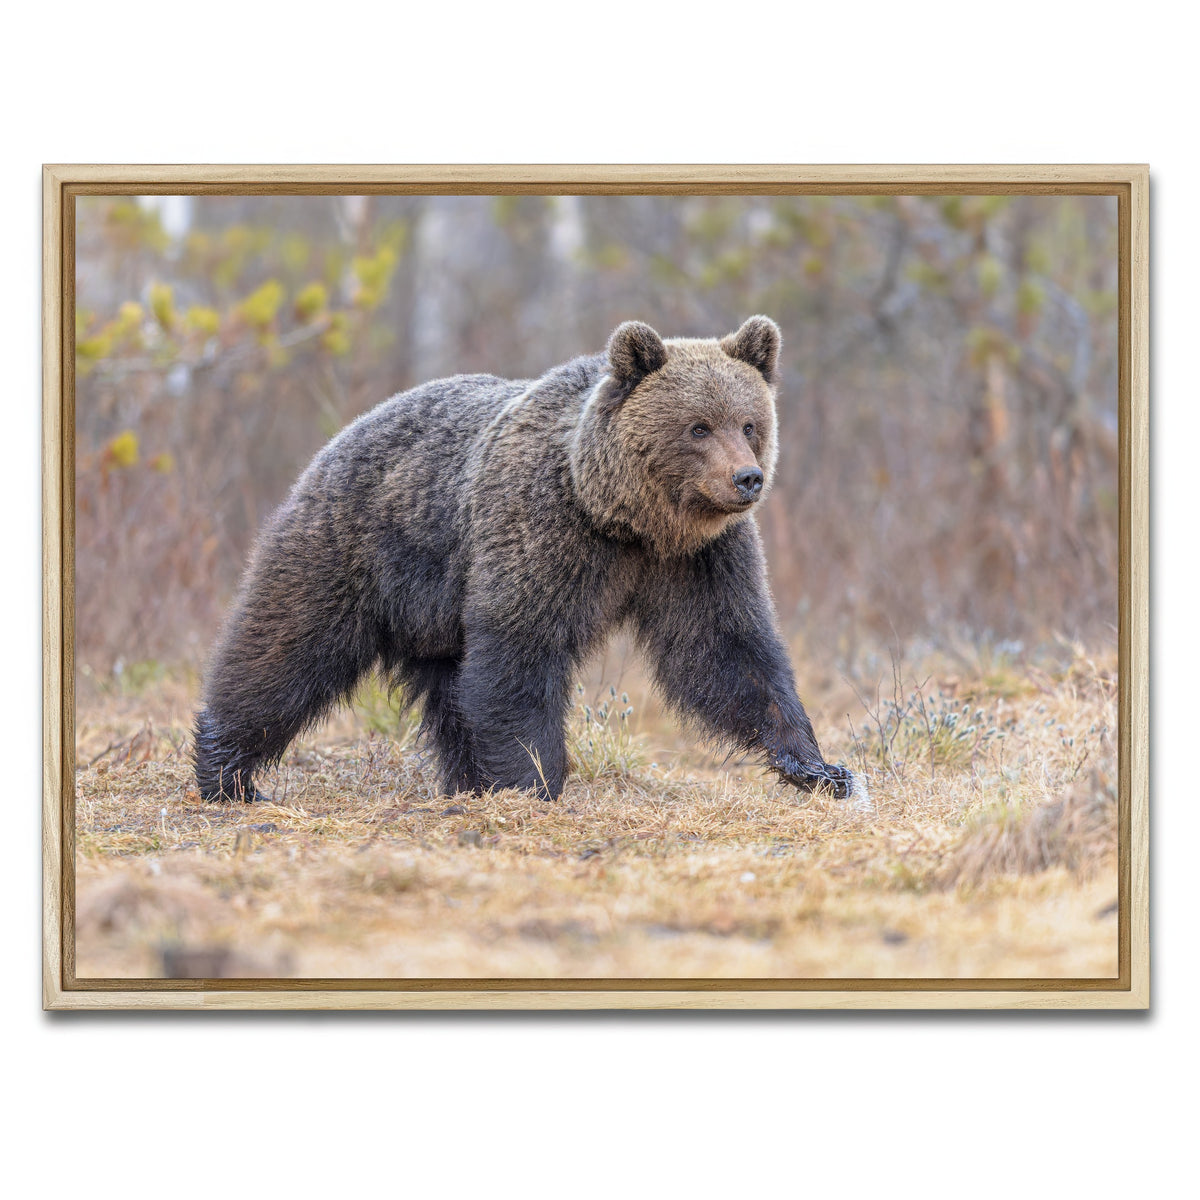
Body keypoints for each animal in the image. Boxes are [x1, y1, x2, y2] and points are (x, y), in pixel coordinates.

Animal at [192, 316, 857, 804]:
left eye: (749, 423)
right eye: (698, 426)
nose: (746, 479)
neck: (625, 518)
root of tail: (345, 432)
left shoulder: (700, 558)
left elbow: (728, 650)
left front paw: (818, 766)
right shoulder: (543, 529)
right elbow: (521, 650)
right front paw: (534, 781)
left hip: (436, 616)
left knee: (451, 692)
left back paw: (464, 782)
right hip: (355, 549)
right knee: (285, 648)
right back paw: (228, 772)